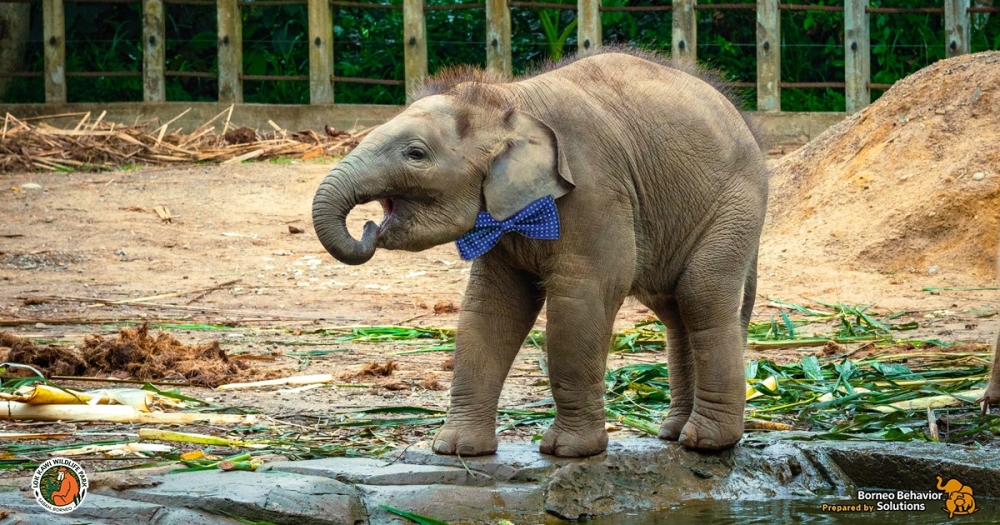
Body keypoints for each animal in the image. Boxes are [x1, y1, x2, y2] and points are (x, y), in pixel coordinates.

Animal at [312, 50, 764, 458]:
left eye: (415, 154)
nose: (369, 227)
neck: (509, 99)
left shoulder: (595, 190)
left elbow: (581, 301)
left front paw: (568, 451)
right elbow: (491, 308)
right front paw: (456, 450)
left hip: (735, 206)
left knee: (700, 294)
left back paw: (706, 443)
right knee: (675, 310)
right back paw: (673, 434)